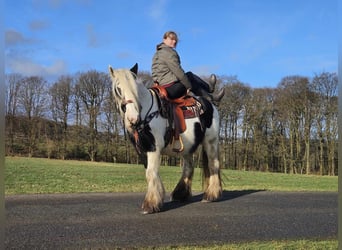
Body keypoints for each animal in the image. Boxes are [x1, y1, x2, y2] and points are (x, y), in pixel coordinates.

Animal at [108, 63, 223, 214]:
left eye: (135, 88)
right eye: (118, 89)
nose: (132, 118)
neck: (148, 113)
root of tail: (210, 105)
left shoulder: (154, 147)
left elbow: (151, 172)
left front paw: (151, 204)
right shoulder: (142, 149)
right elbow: (149, 172)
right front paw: (156, 199)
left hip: (211, 142)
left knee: (213, 165)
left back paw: (211, 195)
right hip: (188, 147)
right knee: (189, 167)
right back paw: (180, 194)